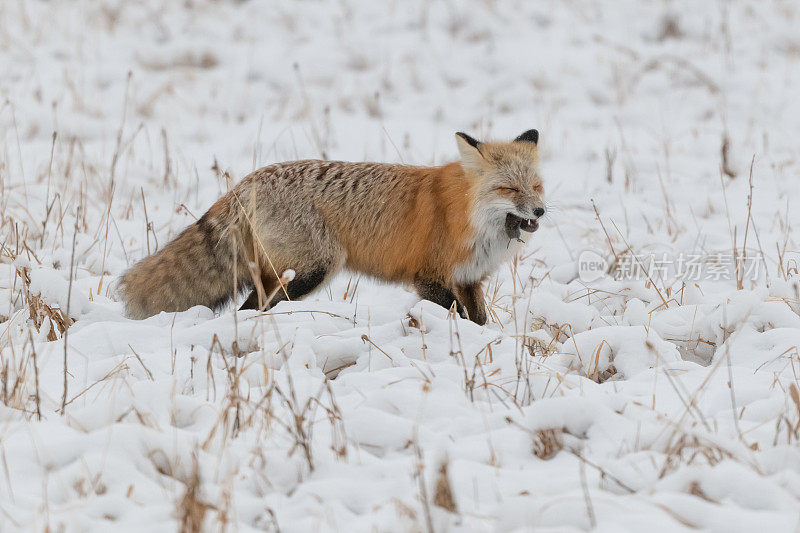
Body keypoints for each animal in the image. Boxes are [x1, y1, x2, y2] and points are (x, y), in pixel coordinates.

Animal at [120, 131, 544, 324]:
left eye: (536, 186)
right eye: (509, 189)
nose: (540, 211)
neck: (470, 216)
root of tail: (247, 181)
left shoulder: (470, 279)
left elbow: (480, 319)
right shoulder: (427, 277)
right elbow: (462, 318)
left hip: (283, 275)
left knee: (250, 306)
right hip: (316, 269)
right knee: (256, 307)